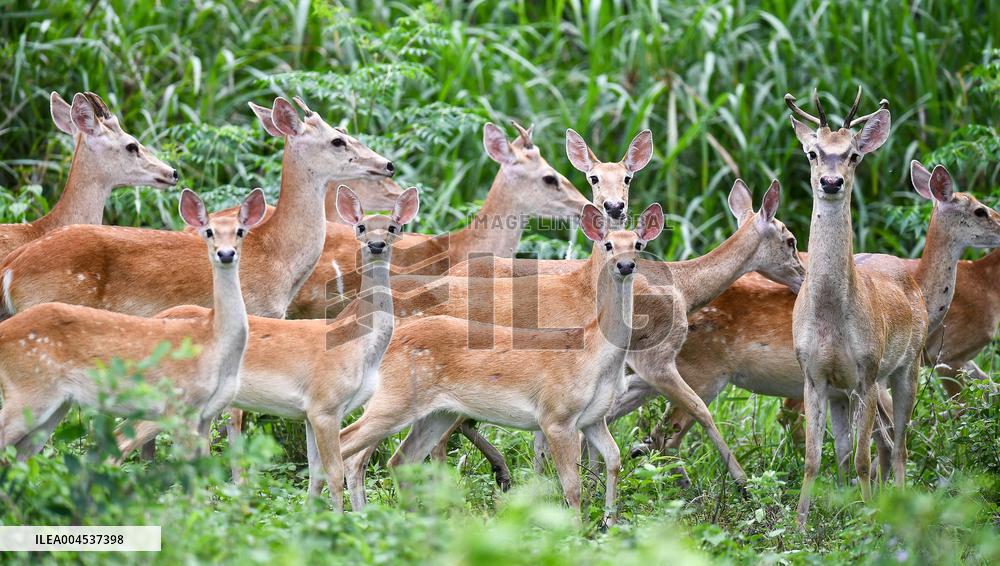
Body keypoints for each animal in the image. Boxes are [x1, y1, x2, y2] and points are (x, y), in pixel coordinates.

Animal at [0, 188, 265, 461]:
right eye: (209, 231)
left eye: (240, 231)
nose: (226, 254)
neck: (214, 341)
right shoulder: (179, 405)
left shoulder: (205, 413)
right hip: (27, 393)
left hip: (56, 404)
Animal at [121, 187, 419, 510]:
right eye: (361, 227)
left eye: (393, 227)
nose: (376, 245)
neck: (357, 343)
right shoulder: (325, 405)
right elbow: (334, 471)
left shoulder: (310, 413)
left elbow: (314, 472)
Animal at [338, 202, 665, 526]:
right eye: (608, 245)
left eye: (637, 245)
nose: (626, 265)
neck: (596, 355)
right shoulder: (556, 416)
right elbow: (572, 486)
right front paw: (574, 531)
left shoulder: (594, 418)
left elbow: (614, 459)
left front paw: (610, 523)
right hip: (394, 399)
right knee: (347, 447)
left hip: (436, 412)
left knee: (400, 460)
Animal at [608, 161, 1000, 488]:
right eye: (979, 210)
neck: (920, 294)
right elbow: (882, 443)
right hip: (702, 373)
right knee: (666, 433)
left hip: (653, 373)